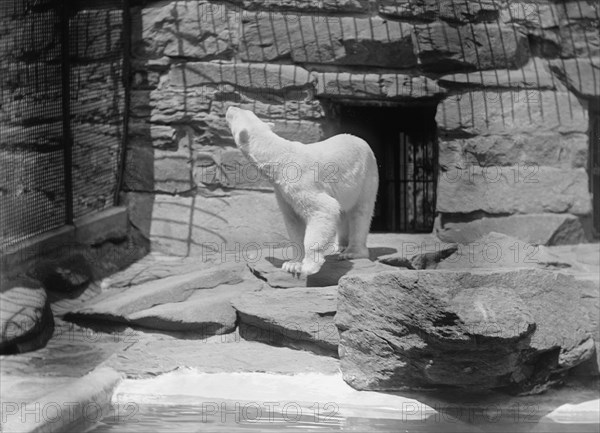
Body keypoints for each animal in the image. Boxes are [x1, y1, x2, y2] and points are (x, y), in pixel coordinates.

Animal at [226, 106, 380, 276]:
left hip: (366, 176)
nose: (231, 107)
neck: (279, 156)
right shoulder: (282, 192)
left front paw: (309, 266)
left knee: (360, 213)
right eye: (247, 111)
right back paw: (338, 247)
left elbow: (324, 208)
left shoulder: (301, 182)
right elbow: (293, 221)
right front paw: (292, 264)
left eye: (237, 114)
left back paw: (352, 252)